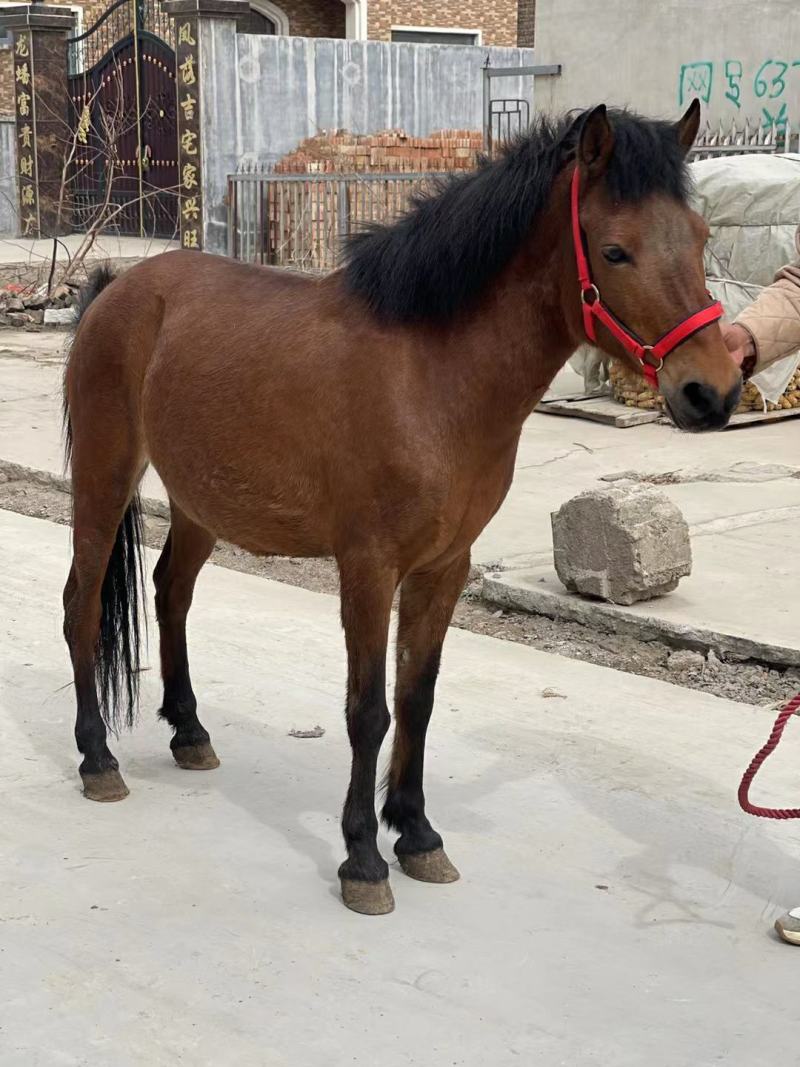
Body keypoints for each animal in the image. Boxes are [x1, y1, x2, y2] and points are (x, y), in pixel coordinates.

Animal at [61, 101, 742, 915]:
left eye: (699, 237)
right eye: (615, 252)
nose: (713, 391)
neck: (432, 375)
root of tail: (117, 288)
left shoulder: (443, 567)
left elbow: (417, 698)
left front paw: (417, 836)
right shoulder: (368, 567)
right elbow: (369, 709)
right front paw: (363, 858)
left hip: (200, 501)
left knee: (170, 593)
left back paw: (189, 734)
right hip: (104, 479)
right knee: (82, 603)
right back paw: (97, 759)